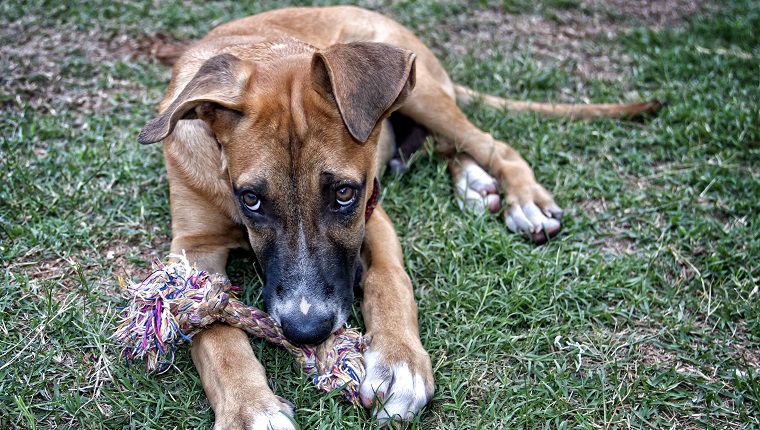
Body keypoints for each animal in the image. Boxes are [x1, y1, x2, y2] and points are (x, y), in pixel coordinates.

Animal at [138, 5, 660, 428]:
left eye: (344, 193)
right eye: (251, 199)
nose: (306, 331)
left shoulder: (375, 215)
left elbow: (389, 280)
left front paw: (399, 363)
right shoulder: (194, 248)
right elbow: (210, 327)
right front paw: (250, 408)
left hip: (421, 91)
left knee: (489, 142)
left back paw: (522, 198)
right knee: (450, 145)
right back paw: (475, 184)